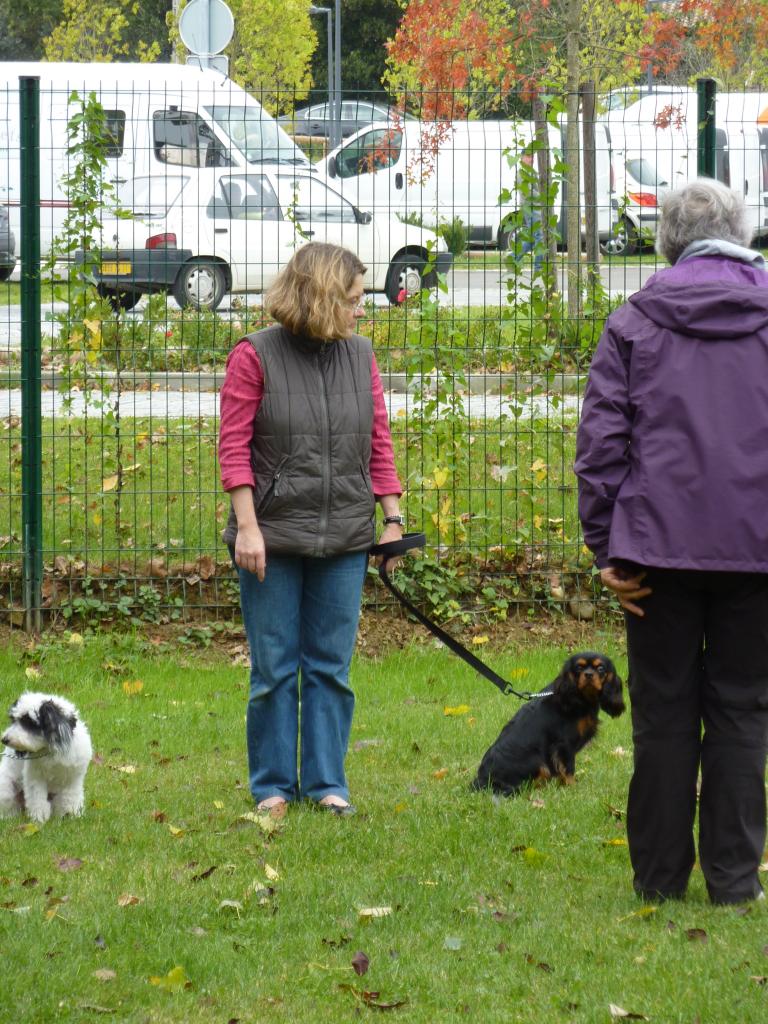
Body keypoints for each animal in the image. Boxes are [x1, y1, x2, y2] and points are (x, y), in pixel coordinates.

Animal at [0, 688, 93, 823]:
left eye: (29, 722)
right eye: (13, 720)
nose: (4, 740)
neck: (52, 751)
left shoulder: (73, 779)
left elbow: (71, 798)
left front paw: (71, 816)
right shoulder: (35, 778)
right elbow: (37, 800)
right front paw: (39, 819)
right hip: (6, 789)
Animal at [468, 651, 626, 794]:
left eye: (601, 669)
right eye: (579, 668)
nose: (588, 674)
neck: (580, 698)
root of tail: (482, 780)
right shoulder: (564, 745)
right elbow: (568, 768)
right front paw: (572, 787)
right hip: (538, 761)